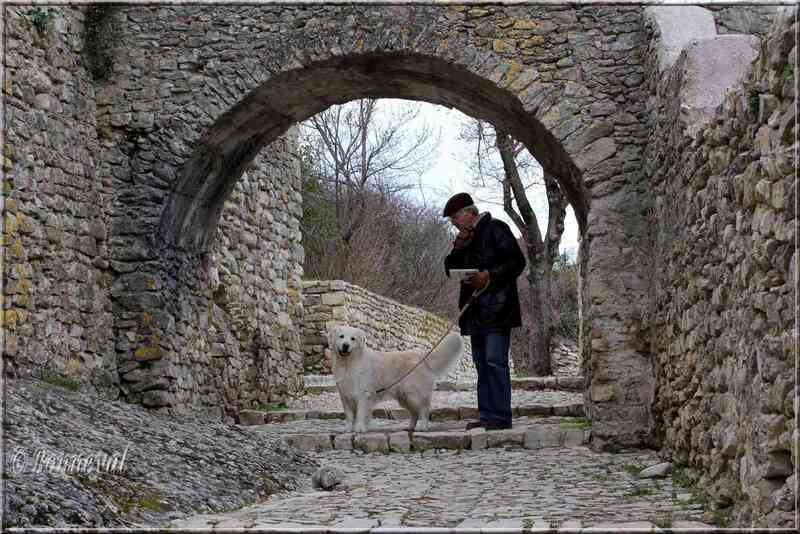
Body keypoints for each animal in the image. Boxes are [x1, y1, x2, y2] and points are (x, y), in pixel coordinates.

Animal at [324, 324, 462, 434]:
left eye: (353, 339)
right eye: (341, 336)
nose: (345, 345)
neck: (348, 364)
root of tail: (422, 357)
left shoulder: (363, 395)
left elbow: (360, 414)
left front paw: (359, 429)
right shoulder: (345, 396)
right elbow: (349, 416)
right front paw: (348, 429)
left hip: (415, 394)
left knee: (424, 410)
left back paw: (422, 427)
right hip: (405, 398)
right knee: (414, 413)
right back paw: (410, 427)